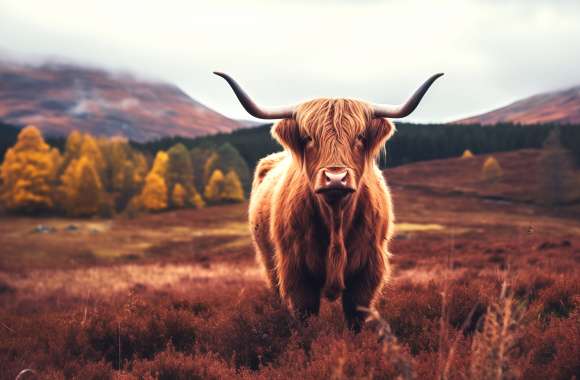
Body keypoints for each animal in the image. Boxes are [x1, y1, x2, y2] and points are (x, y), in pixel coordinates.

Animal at [215, 71, 442, 330]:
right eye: (307, 137)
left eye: (360, 136)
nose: (335, 177)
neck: (336, 218)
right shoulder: (296, 273)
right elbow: (304, 315)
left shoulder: (367, 273)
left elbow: (356, 317)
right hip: (268, 263)